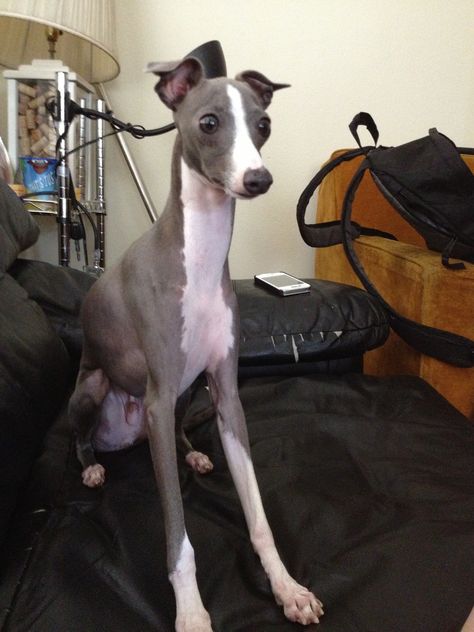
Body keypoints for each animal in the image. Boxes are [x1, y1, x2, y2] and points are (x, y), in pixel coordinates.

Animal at [69, 55, 322, 632]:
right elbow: (179, 537)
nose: (258, 179)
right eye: (208, 122)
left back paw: (195, 456)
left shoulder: (225, 393)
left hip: (188, 395)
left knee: (181, 434)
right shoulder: (159, 398)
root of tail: (131, 434)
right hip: (96, 387)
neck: (200, 260)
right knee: (81, 436)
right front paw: (191, 612)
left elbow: (258, 514)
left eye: (263, 125)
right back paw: (91, 464)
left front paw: (287, 587)